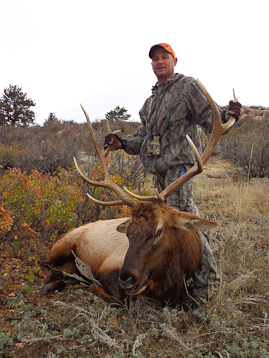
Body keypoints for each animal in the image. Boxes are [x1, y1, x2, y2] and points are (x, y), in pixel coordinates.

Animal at [40, 82, 236, 308]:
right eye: (128, 232)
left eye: (159, 231)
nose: (127, 277)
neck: (171, 282)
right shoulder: (109, 268)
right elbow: (117, 298)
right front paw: (93, 288)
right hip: (60, 246)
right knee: (44, 265)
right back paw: (52, 283)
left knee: (63, 270)